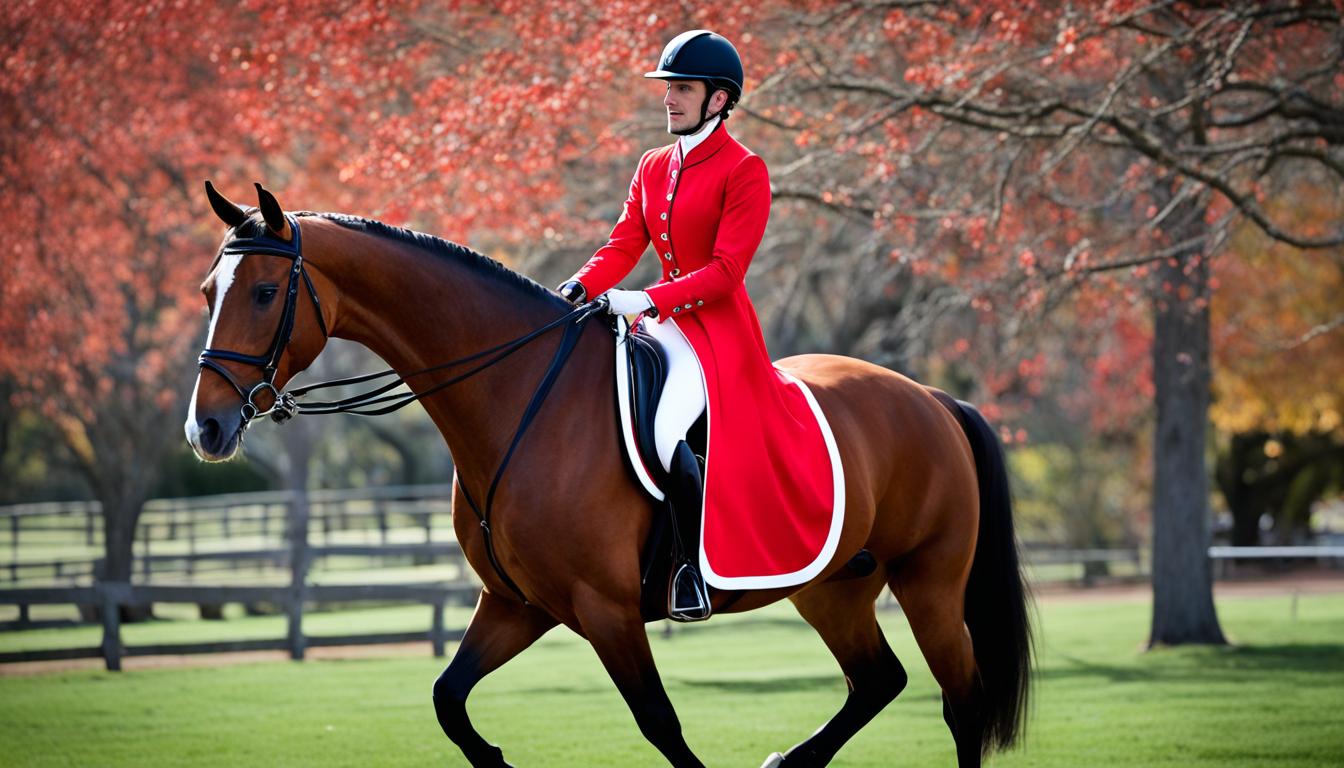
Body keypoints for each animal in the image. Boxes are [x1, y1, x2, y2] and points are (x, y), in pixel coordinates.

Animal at [184, 182, 1032, 768]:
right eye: (206, 293)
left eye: (265, 292)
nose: (206, 429)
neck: (521, 393)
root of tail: (930, 397)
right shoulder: (519, 604)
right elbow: (449, 700)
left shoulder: (606, 609)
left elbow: (660, 723)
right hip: (832, 588)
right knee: (878, 680)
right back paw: (789, 763)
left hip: (928, 583)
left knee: (959, 701)